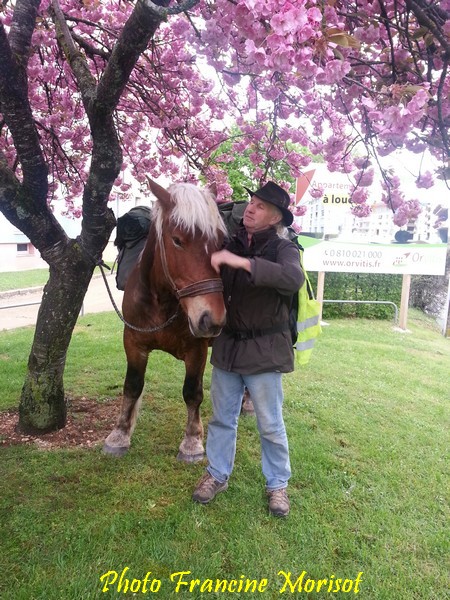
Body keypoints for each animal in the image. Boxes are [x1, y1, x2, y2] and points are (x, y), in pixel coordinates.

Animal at [103, 178, 227, 460]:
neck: (161, 303)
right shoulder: (133, 344)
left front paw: (192, 442)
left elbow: (192, 392)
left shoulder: (196, 350)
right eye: (178, 240)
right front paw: (119, 434)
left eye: (221, 242)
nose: (211, 319)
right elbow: (132, 386)